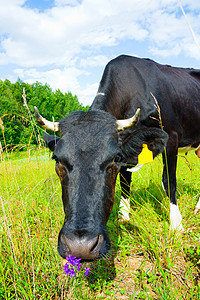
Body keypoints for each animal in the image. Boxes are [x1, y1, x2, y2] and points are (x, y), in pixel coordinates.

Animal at [34, 54, 200, 260]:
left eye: (115, 157)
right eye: (57, 159)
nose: (79, 246)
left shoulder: (172, 136)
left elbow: (169, 181)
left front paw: (176, 225)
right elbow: (125, 181)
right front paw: (124, 216)